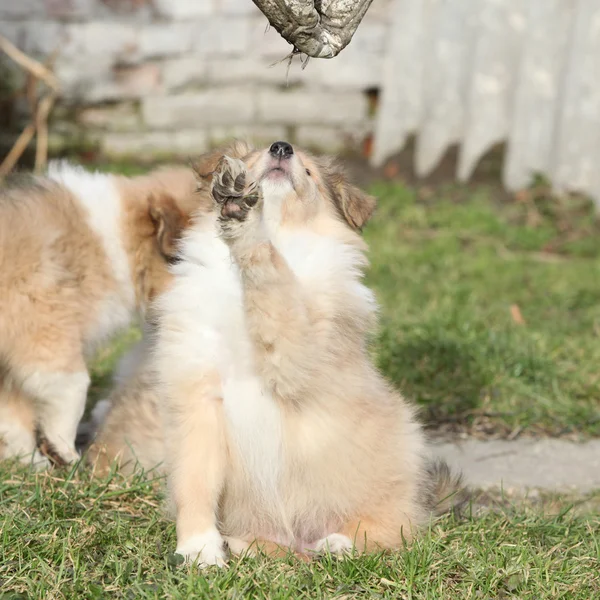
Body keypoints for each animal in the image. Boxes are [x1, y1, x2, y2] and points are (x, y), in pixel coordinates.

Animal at [0, 162, 202, 466]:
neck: (117, 244)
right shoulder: (43, 328)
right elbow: (74, 388)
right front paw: (66, 452)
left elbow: (13, 416)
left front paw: (31, 461)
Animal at [151, 142, 464, 568]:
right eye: (253, 158)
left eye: (311, 172)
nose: (281, 147)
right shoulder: (197, 396)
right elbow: (195, 482)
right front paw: (199, 550)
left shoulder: (300, 353)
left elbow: (276, 284)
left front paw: (246, 223)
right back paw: (241, 544)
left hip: (398, 464)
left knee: (398, 529)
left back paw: (338, 544)